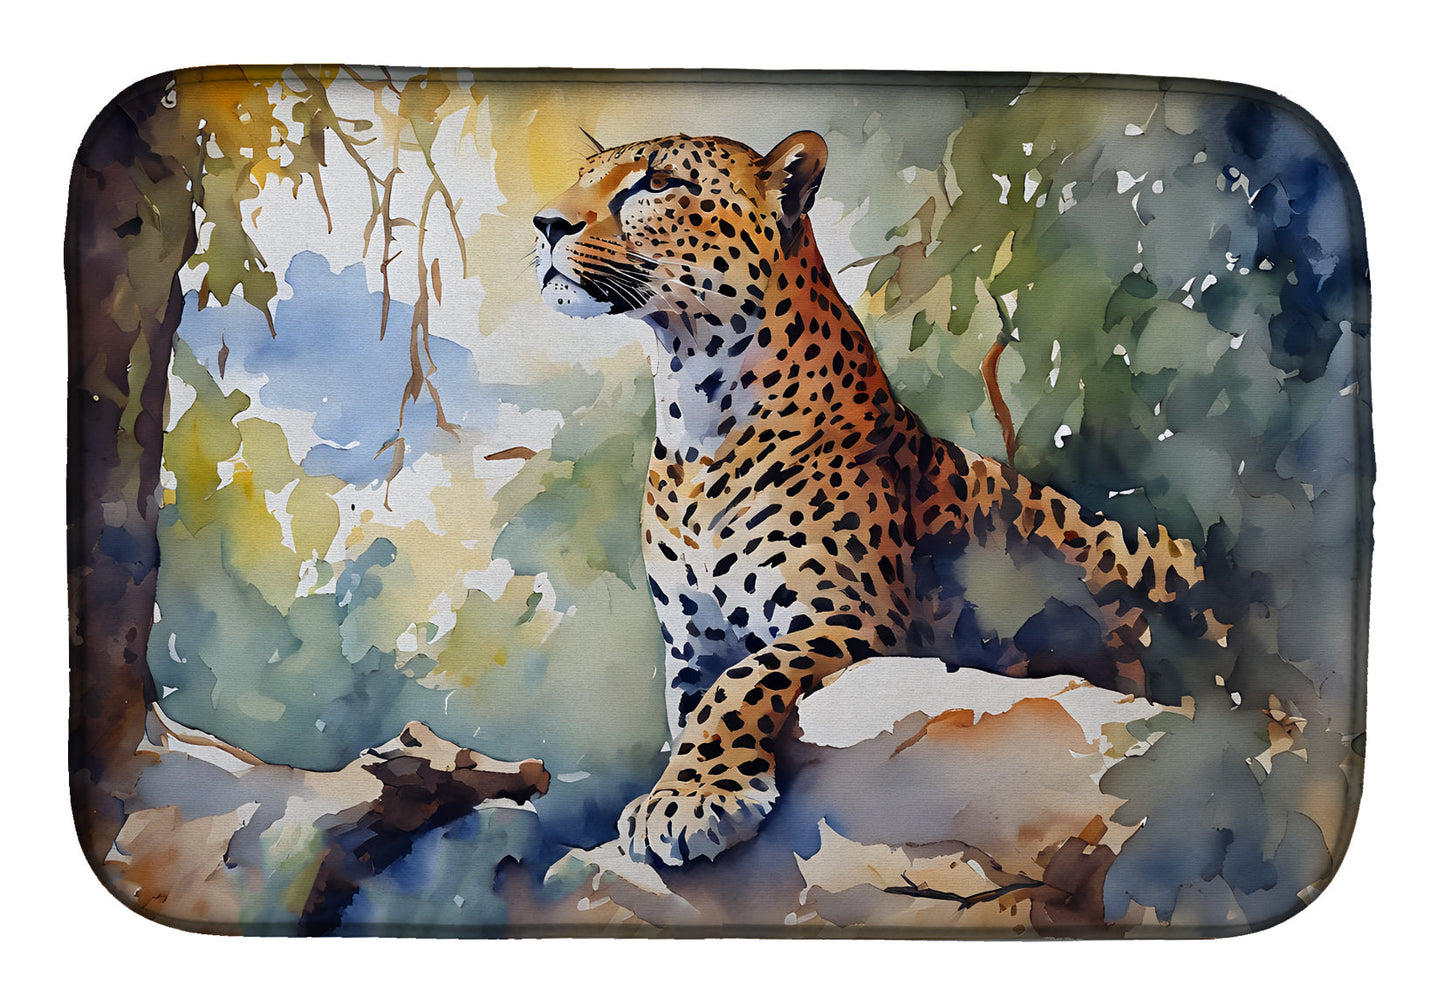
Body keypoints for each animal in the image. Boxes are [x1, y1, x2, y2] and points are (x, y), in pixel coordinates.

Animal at [532, 130, 1225, 866]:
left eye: (657, 184)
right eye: (582, 178)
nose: (545, 224)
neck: (692, 407)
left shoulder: (852, 618)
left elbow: (741, 683)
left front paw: (692, 800)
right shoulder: (694, 642)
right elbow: (700, 703)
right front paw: (682, 788)